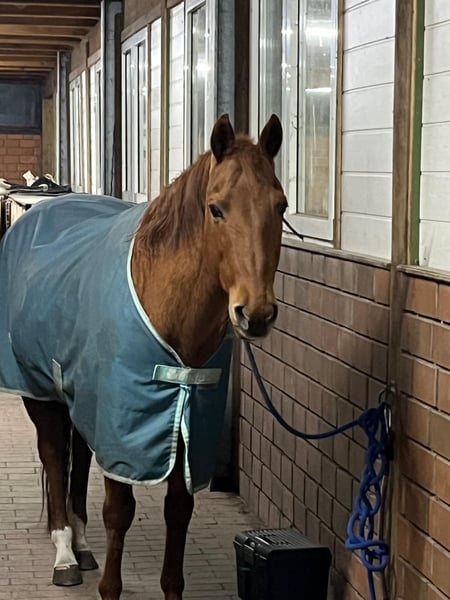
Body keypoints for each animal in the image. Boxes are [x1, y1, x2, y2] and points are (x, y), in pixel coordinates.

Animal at [0, 114, 286, 599]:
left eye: (281, 206)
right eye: (216, 208)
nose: (256, 313)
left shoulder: (188, 429)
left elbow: (178, 511)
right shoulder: (126, 430)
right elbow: (119, 511)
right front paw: (109, 587)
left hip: (83, 400)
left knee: (79, 462)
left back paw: (82, 545)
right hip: (40, 394)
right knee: (55, 458)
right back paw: (64, 555)